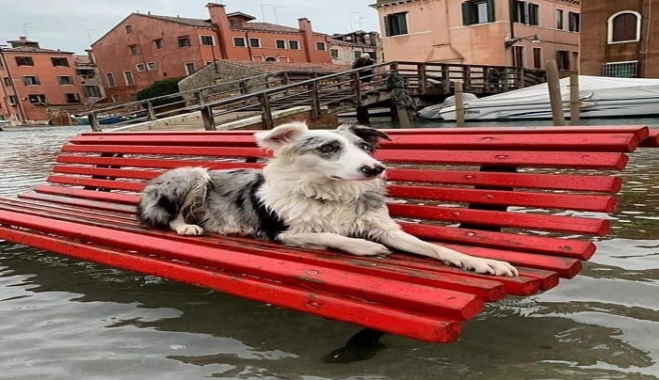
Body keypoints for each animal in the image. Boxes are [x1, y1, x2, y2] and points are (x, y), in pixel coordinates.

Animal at [138, 121, 520, 276]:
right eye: (328, 148)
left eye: (363, 146)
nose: (376, 168)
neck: (332, 194)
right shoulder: (284, 233)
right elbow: (332, 235)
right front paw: (366, 247)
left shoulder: (386, 228)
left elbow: (437, 247)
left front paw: (481, 261)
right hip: (194, 173)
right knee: (165, 214)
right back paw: (186, 227)